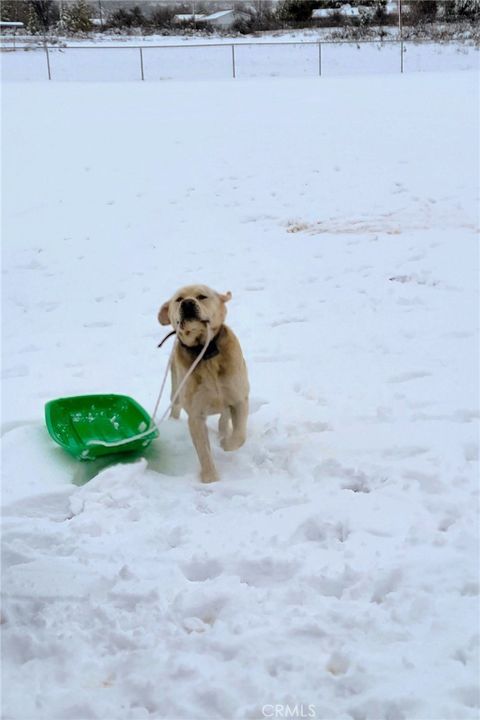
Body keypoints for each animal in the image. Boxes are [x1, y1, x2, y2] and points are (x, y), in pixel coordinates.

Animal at [159, 284, 249, 480]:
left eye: (201, 296)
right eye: (178, 299)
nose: (187, 303)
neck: (206, 352)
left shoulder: (239, 398)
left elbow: (239, 435)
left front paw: (226, 444)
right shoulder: (196, 414)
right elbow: (203, 451)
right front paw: (210, 479)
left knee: (225, 416)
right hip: (176, 387)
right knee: (175, 406)